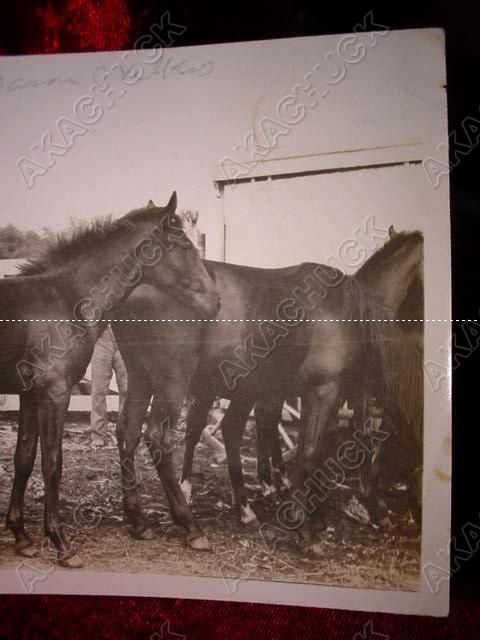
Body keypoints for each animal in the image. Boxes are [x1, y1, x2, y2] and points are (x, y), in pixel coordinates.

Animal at [0, 194, 218, 564]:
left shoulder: (29, 394)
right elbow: (53, 463)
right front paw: (61, 543)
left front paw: (22, 537)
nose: (215, 302)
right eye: (184, 246)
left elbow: (24, 459)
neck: (65, 298)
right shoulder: (55, 393)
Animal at [110, 226, 422, 552]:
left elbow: (329, 443)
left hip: (143, 378)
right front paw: (308, 526)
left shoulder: (337, 392)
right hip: (176, 384)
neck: (346, 310)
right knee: (163, 437)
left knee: (130, 431)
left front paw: (318, 514)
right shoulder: (326, 390)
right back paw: (190, 520)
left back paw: (142, 519)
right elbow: (315, 450)